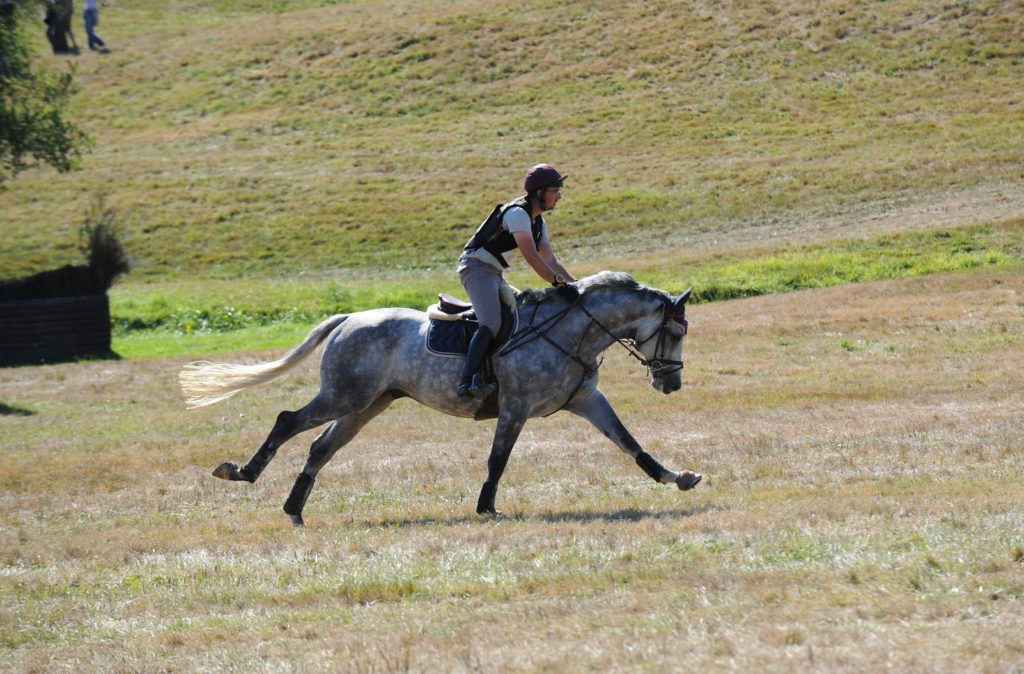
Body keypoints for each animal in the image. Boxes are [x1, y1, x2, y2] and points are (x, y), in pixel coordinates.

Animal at [180, 270, 700, 522]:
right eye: (675, 332)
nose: (671, 384)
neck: (574, 332)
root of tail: (349, 318)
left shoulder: (586, 400)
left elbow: (629, 443)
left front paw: (677, 476)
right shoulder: (515, 408)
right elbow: (498, 460)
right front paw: (487, 508)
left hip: (367, 405)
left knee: (320, 447)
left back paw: (294, 510)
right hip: (345, 397)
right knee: (288, 420)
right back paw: (243, 473)